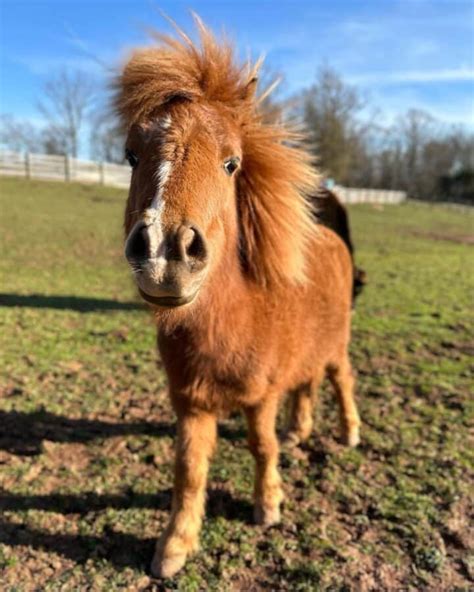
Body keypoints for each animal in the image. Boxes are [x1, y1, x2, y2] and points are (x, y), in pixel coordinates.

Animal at [116, 19, 362, 580]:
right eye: (131, 155)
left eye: (231, 163)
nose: (165, 253)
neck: (233, 317)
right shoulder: (190, 402)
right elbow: (188, 470)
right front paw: (174, 546)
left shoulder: (261, 396)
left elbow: (261, 445)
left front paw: (267, 505)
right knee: (307, 385)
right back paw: (301, 430)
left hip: (336, 346)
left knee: (341, 380)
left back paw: (349, 433)